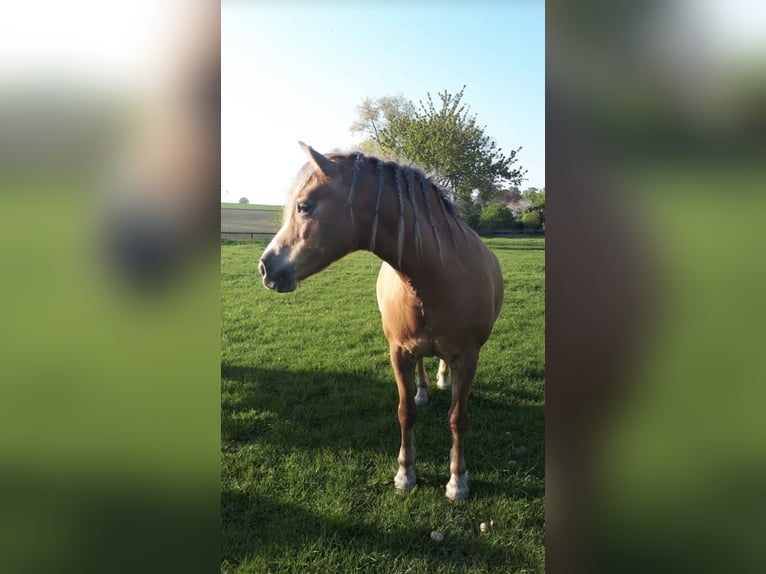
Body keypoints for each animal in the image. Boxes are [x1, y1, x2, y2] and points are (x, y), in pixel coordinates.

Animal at [260, 143, 508, 500]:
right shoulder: (399, 352)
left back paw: (442, 379)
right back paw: (423, 391)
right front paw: (406, 473)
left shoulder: (467, 358)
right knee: (422, 367)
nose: (265, 268)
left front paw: (457, 480)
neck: (436, 276)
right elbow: (406, 412)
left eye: (303, 206)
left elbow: (458, 419)